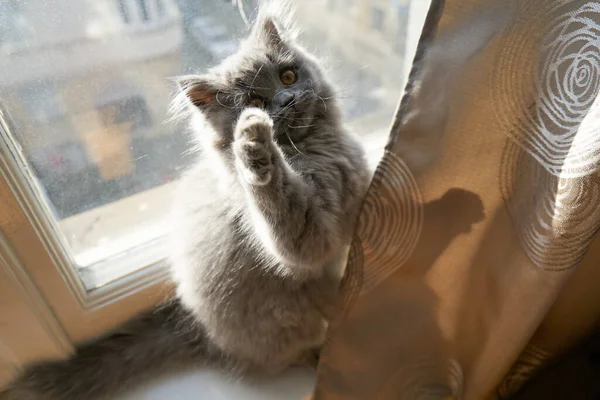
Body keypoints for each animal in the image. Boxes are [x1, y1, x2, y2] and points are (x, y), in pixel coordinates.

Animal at [1, 2, 370, 396]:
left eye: (288, 76)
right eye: (254, 101)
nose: (288, 99)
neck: (317, 150)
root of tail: (197, 329)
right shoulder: (304, 243)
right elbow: (279, 203)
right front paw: (253, 145)